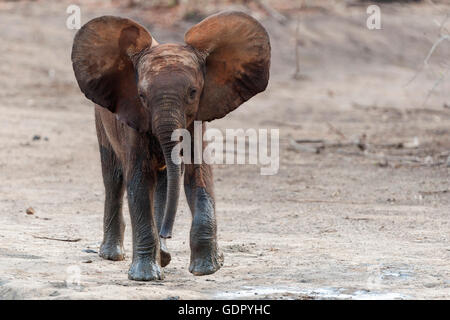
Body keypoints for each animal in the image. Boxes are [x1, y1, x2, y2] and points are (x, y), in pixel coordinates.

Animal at [71, 11, 270, 280]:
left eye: (193, 92)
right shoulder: (134, 121)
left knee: (164, 183)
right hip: (101, 120)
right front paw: (145, 276)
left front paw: (207, 268)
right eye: (142, 96)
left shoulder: (196, 122)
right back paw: (114, 254)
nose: (167, 233)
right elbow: (139, 182)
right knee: (113, 178)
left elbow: (199, 176)